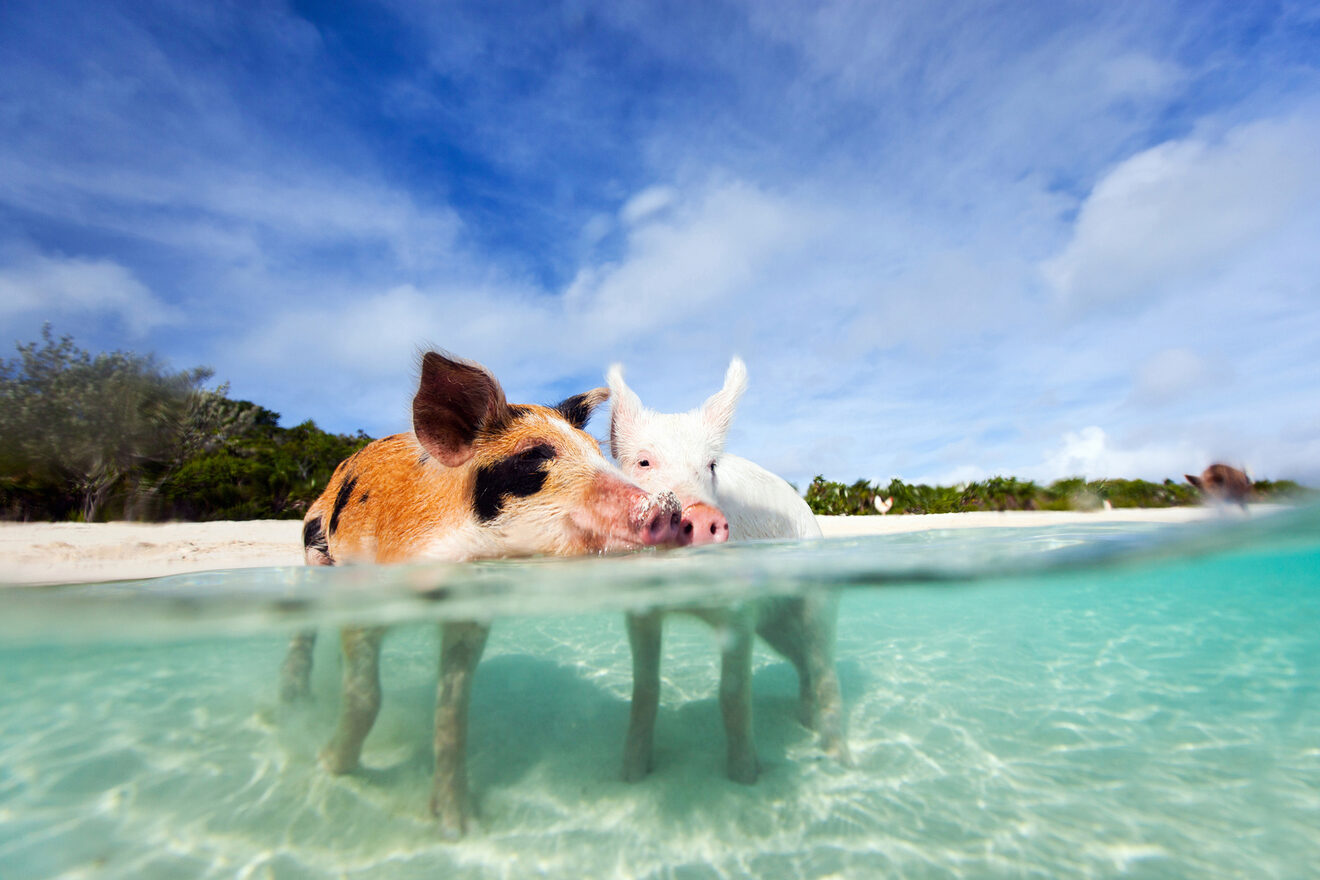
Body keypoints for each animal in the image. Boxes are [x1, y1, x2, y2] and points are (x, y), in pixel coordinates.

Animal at [277, 348, 681, 839]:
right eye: (533, 456)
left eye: (597, 451)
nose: (668, 506)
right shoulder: (365, 593)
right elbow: (366, 696)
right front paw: (332, 767)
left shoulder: (470, 617)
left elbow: (452, 712)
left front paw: (457, 826)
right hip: (314, 547)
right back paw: (293, 702)